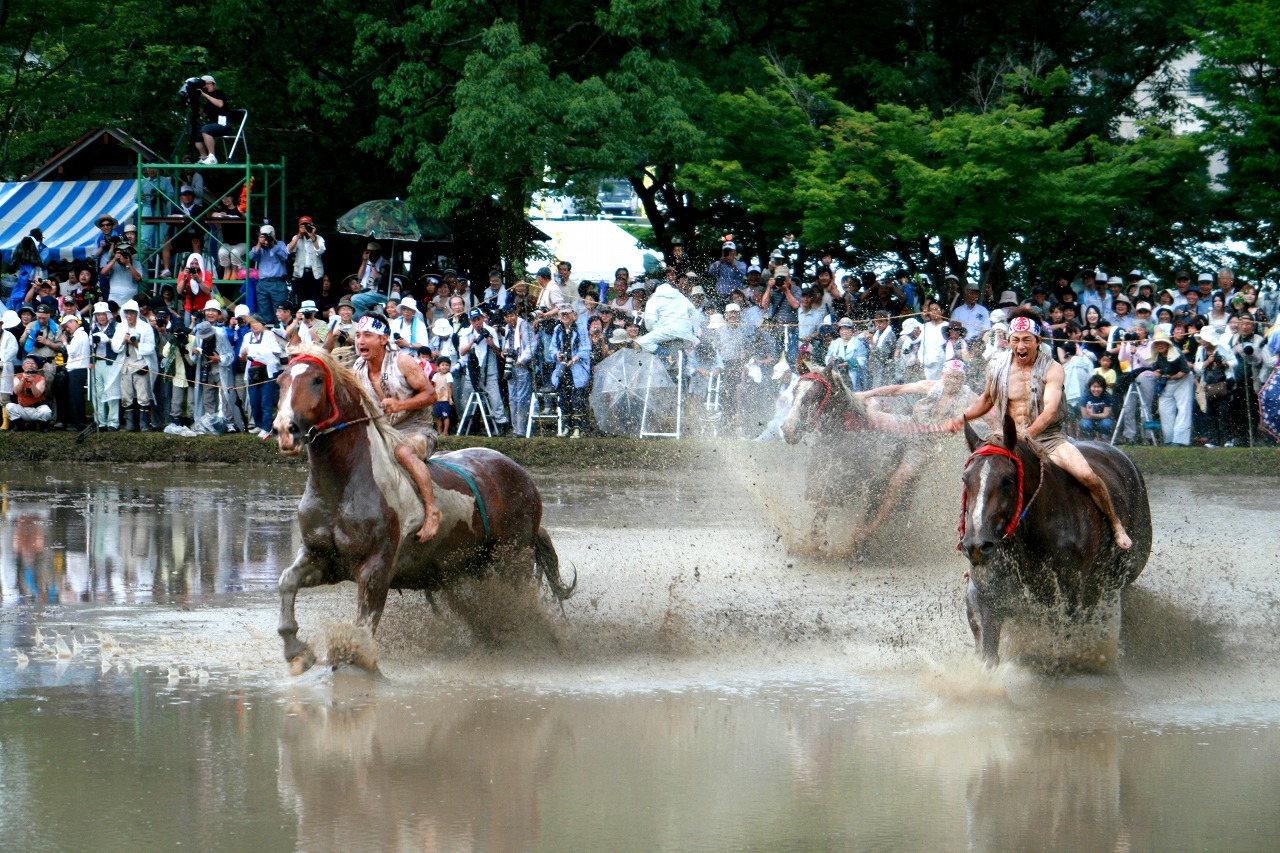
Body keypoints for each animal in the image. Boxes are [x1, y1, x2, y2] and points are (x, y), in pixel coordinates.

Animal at [273, 345, 576, 671]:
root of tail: (521, 475)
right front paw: (297, 651)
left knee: (525, 605)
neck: (344, 484)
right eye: (281, 380)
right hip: (472, 569)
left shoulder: (375, 569)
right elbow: (287, 581)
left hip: (513, 558)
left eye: (317, 380)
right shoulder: (321, 558)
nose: (285, 430)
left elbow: (363, 629)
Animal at [957, 412, 1157, 666]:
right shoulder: (985, 597)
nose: (976, 545)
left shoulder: (1068, 602)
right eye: (966, 479)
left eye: (1008, 480)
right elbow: (988, 650)